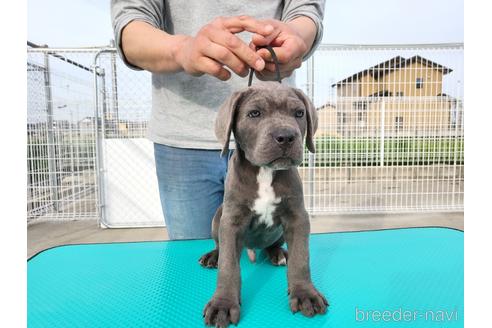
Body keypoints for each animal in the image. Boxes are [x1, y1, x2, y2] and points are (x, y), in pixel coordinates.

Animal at [198, 82, 328, 328]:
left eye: (299, 113)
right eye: (254, 114)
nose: (285, 136)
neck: (265, 171)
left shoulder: (297, 218)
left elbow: (301, 258)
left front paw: (305, 294)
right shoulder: (231, 220)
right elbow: (229, 266)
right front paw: (223, 304)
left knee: (274, 245)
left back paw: (278, 253)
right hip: (217, 217)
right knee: (221, 246)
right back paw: (213, 256)